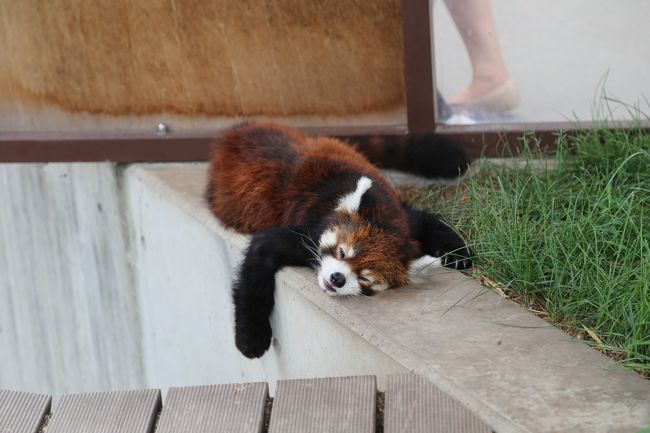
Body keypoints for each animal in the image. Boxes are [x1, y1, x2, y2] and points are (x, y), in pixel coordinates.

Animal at [205, 121, 468, 358]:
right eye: (342, 252)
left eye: (365, 278)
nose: (337, 279)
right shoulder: (307, 232)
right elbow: (258, 265)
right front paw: (251, 337)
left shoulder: (401, 219)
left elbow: (426, 221)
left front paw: (459, 255)